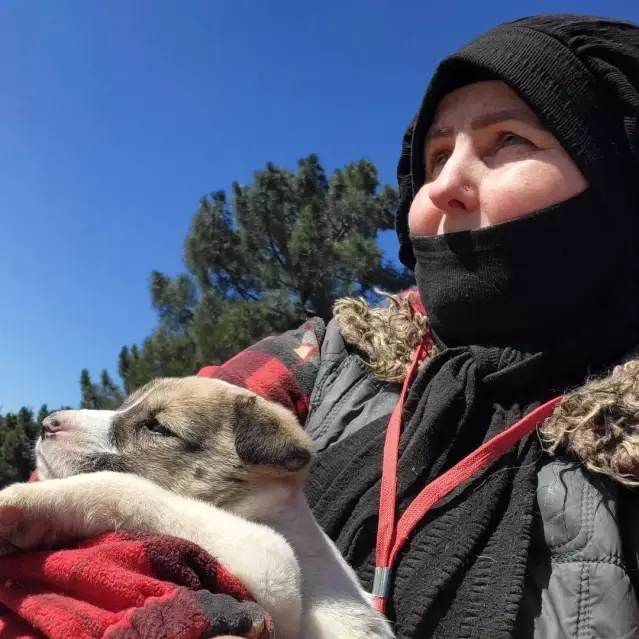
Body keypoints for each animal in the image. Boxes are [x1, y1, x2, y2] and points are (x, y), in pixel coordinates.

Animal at [0, 378, 396, 639]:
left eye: (157, 426)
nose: (47, 424)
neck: (270, 510)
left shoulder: (275, 574)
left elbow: (130, 487)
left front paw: (28, 505)